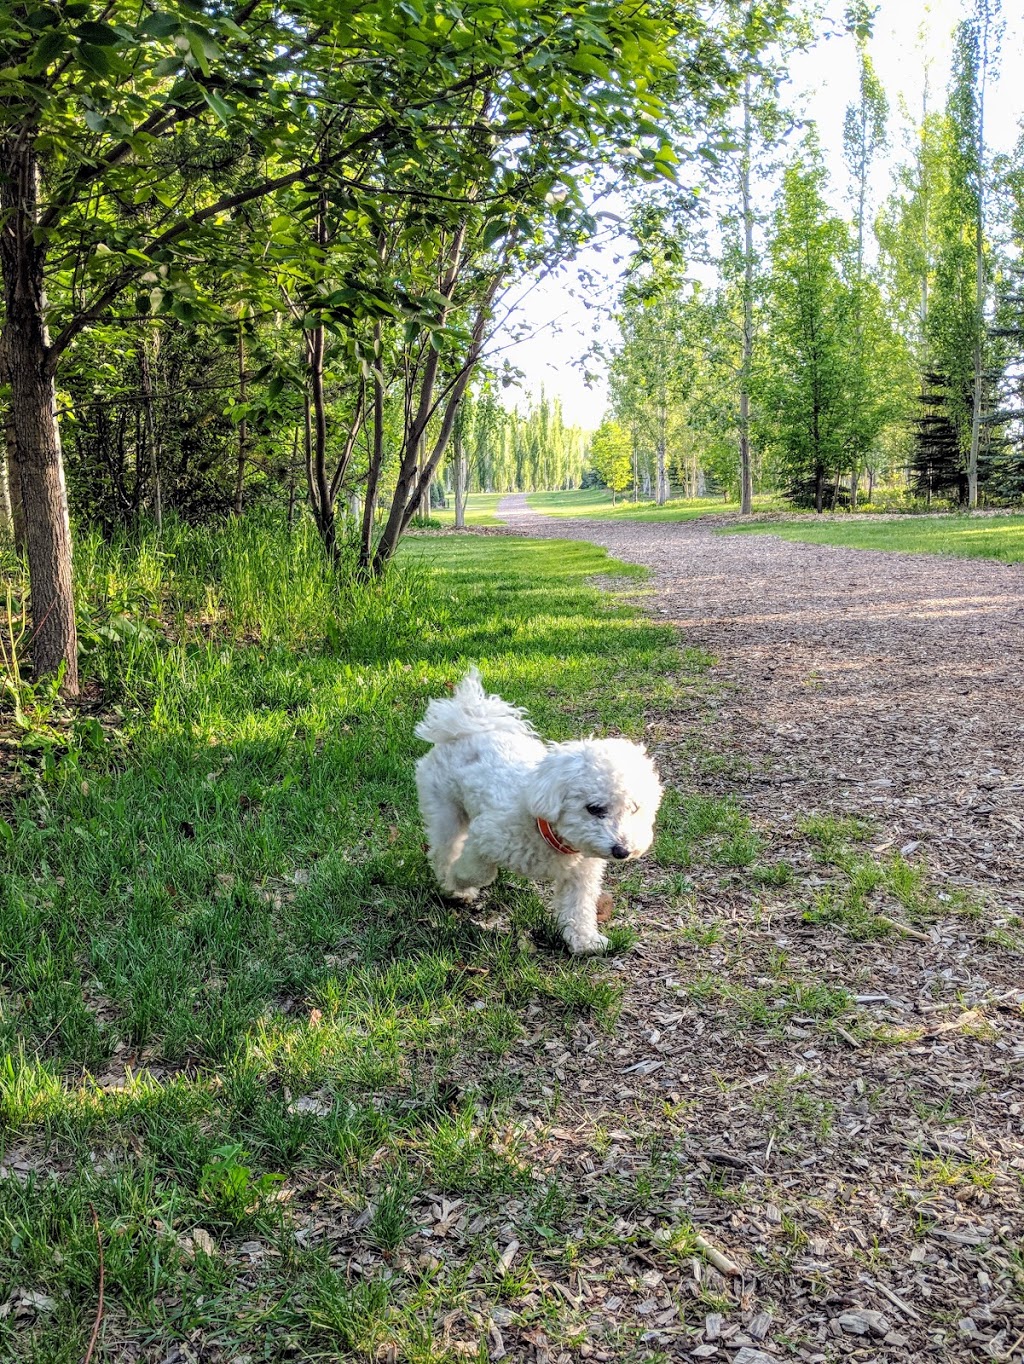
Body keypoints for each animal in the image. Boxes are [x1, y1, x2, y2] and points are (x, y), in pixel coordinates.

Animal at [417, 668, 665, 949]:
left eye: (634, 809)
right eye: (594, 808)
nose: (622, 851)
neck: (545, 830)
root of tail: (467, 725)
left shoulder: (580, 874)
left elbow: (578, 907)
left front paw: (585, 941)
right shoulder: (484, 838)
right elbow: (477, 871)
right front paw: (459, 883)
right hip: (445, 811)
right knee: (444, 849)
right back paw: (451, 884)